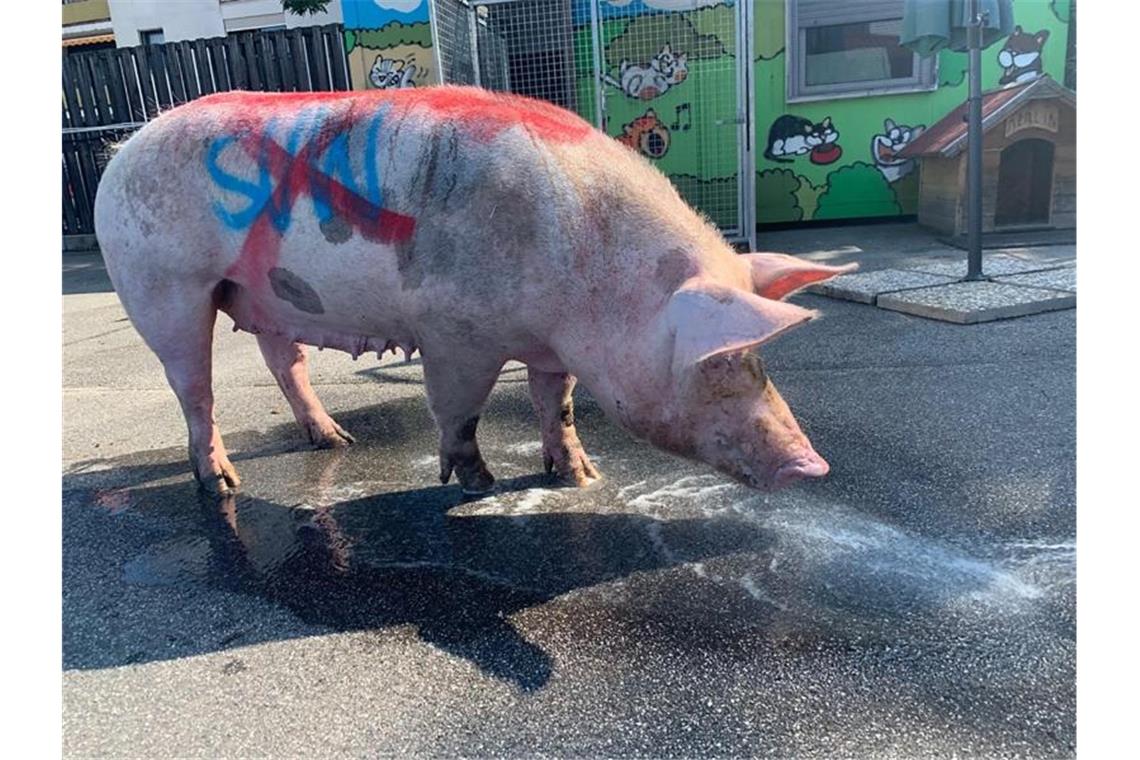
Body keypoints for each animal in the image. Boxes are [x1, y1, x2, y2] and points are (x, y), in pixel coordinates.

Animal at [93, 86, 852, 496]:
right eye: (720, 361)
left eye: (759, 358)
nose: (814, 464)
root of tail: (122, 152)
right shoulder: (453, 333)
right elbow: (458, 411)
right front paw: (479, 484)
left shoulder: (551, 346)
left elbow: (558, 404)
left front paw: (581, 477)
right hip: (163, 286)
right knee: (194, 388)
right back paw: (222, 482)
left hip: (264, 297)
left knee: (285, 363)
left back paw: (334, 442)